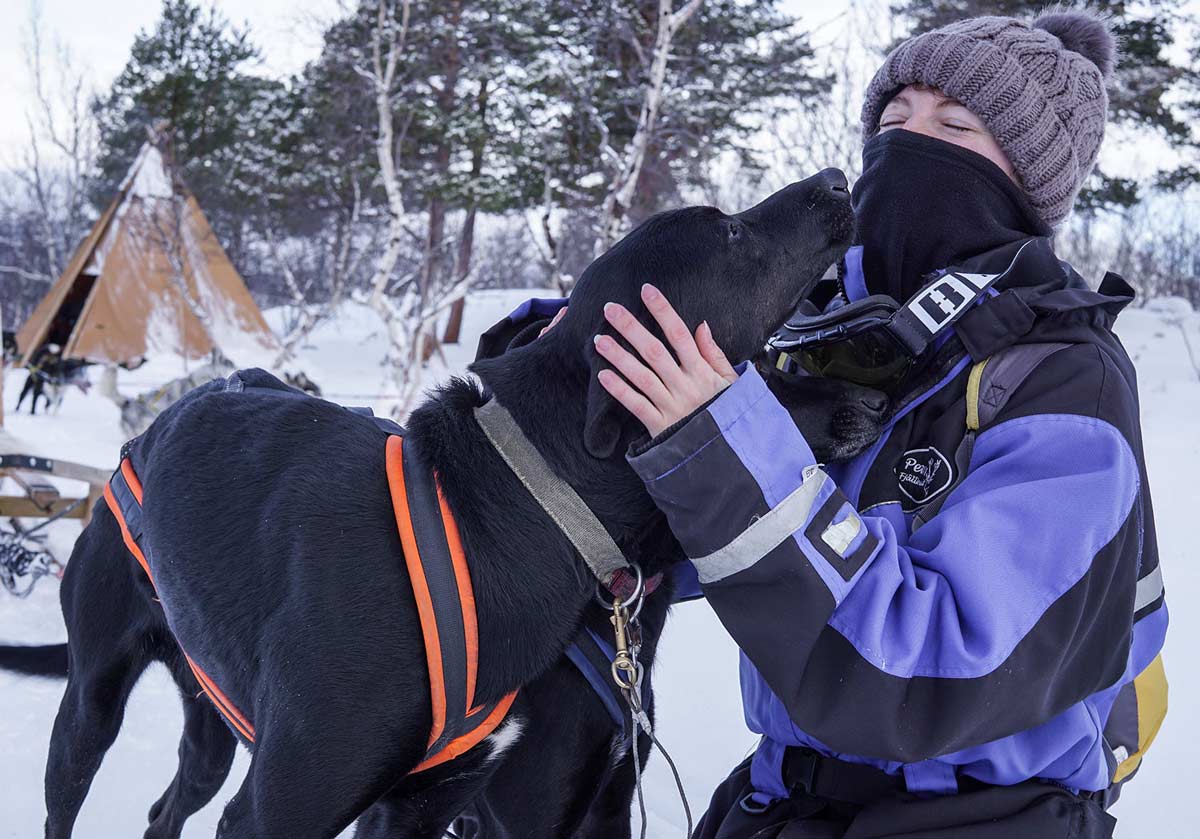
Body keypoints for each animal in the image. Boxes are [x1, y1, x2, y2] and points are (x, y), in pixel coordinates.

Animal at [0, 166, 883, 835]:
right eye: (729, 233)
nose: (840, 177)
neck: (510, 511)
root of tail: (145, 435)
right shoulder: (289, 808)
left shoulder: (429, 807)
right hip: (92, 703)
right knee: (66, 794)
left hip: (211, 719)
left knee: (167, 805)